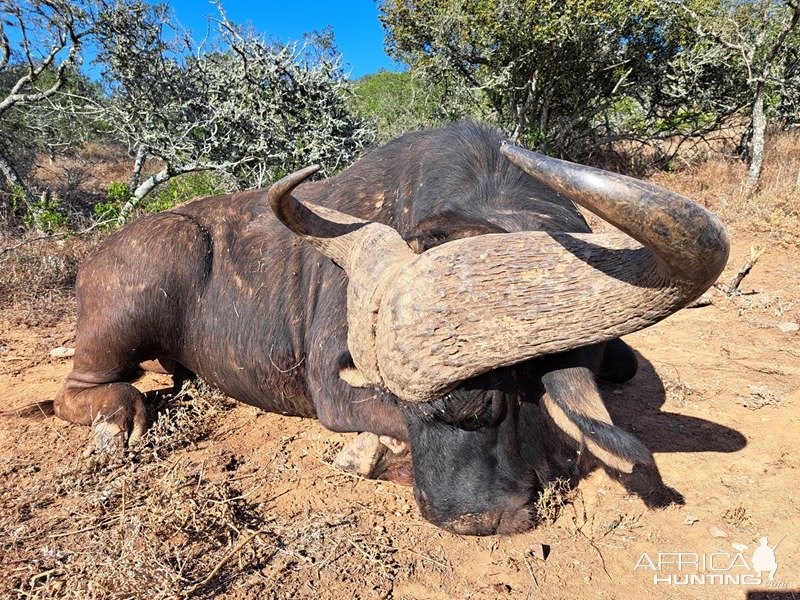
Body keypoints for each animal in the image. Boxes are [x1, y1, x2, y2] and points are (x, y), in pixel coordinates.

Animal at [54, 122, 732, 536]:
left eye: (507, 390)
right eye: (414, 408)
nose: (470, 517)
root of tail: (98, 254)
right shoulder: (335, 391)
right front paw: (370, 453)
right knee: (81, 390)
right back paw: (120, 416)